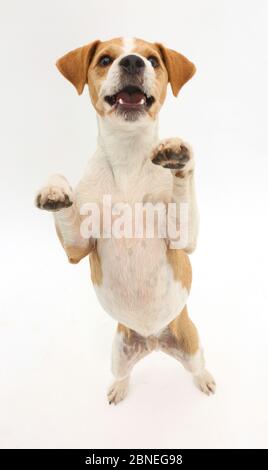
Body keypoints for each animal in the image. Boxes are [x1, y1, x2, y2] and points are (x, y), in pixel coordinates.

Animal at [35, 36, 216, 404]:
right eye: (105, 59)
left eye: (153, 60)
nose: (133, 62)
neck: (129, 157)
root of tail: (154, 339)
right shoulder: (77, 247)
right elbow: (62, 195)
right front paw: (55, 188)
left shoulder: (183, 238)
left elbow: (183, 184)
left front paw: (179, 154)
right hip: (118, 351)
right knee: (124, 372)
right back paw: (118, 388)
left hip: (191, 346)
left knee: (197, 367)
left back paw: (204, 379)